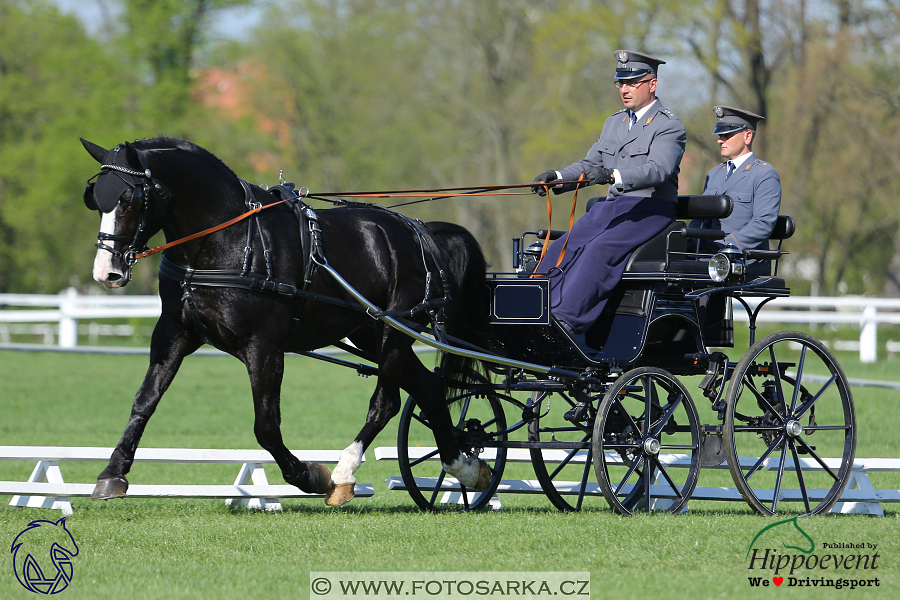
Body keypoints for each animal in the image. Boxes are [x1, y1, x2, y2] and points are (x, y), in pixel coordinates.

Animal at [81, 137, 492, 506]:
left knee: (386, 401)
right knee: (429, 388)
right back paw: (463, 466)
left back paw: (345, 472)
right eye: (94, 198)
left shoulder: (264, 346)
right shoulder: (174, 332)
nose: (106, 272)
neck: (226, 239)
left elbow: (265, 426)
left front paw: (309, 475)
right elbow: (144, 400)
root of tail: (419, 230)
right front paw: (113, 473)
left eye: (129, 198)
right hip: (369, 332)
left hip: (394, 330)